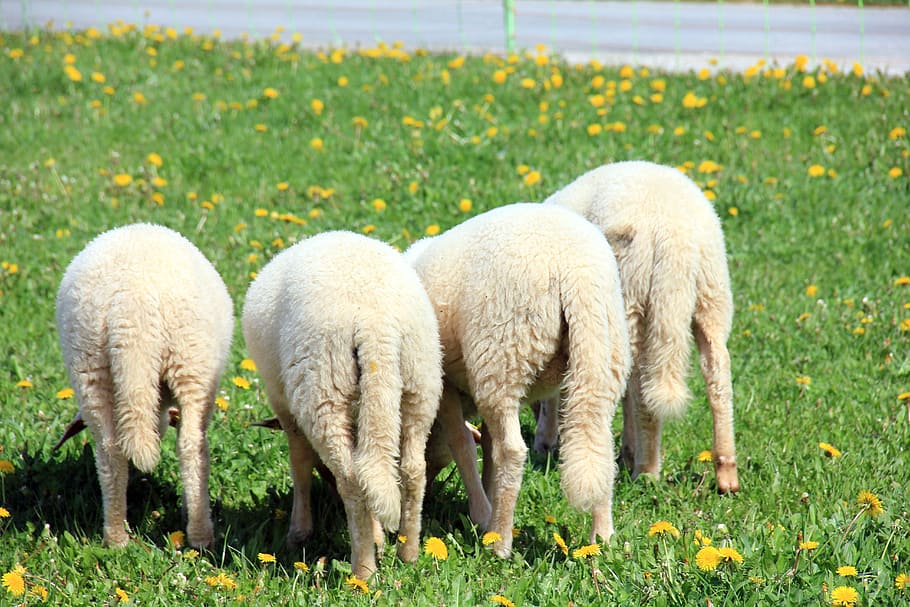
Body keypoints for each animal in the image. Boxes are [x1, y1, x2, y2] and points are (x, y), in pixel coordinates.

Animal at [55, 223, 234, 549]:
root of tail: (130, 305)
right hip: (191, 361)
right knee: (191, 446)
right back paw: (201, 534)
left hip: (89, 367)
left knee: (109, 451)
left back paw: (116, 537)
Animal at [241, 231, 442, 579]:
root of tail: (376, 324)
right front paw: (379, 537)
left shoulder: (285, 406)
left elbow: (299, 461)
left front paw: (299, 532)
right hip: (420, 381)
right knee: (412, 469)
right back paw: (409, 553)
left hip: (324, 387)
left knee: (351, 478)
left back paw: (363, 571)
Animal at [406, 203, 631, 558]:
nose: (427, 496)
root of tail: (575, 271)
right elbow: (486, 446)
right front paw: (487, 495)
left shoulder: (447, 386)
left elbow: (464, 443)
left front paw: (481, 512)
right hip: (603, 356)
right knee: (598, 444)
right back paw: (602, 537)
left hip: (502, 356)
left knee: (512, 451)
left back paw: (499, 542)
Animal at [535, 160, 740, 494]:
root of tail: (674, 238)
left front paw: (545, 441)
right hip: (712, 292)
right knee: (717, 371)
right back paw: (726, 473)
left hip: (633, 291)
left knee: (642, 383)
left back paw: (646, 471)